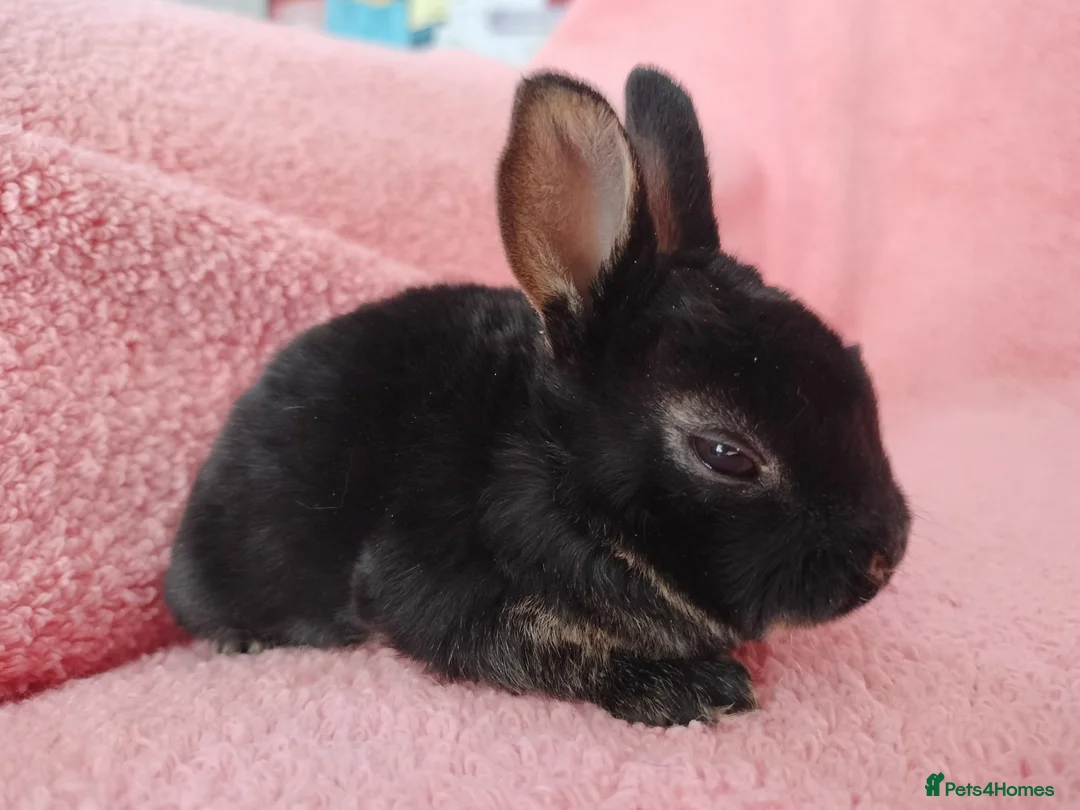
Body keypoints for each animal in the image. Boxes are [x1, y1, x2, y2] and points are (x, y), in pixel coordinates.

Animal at [163, 65, 911, 727]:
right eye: (725, 454)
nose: (885, 558)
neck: (556, 475)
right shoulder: (437, 591)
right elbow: (550, 648)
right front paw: (699, 691)